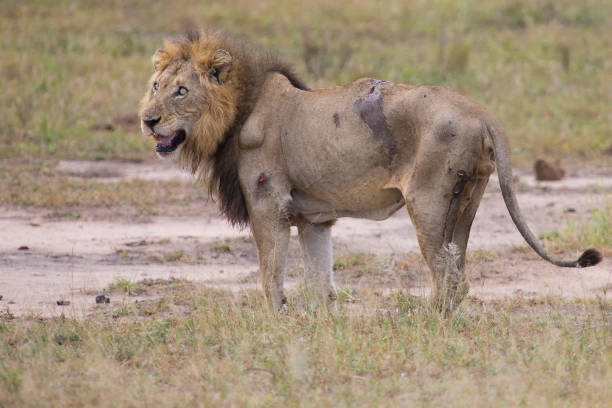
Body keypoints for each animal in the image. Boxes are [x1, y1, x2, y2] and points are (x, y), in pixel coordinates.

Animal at [140, 31, 604, 312]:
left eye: (181, 91)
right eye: (155, 86)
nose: (147, 120)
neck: (237, 110)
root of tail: (479, 111)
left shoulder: (268, 205)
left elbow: (271, 276)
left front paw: (273, 324)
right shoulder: (313, 218)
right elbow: (320, 283)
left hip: (428, 202)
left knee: (449, 278)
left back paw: (427, 323)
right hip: (467, 200)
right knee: (460, 273)